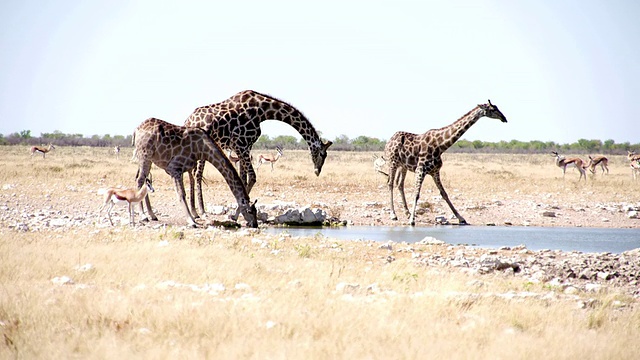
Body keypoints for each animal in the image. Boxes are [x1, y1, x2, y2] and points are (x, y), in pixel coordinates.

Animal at [182, 90, 332, 217]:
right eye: (322, 154)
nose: (317, 171)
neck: (263, 112)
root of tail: (187, 120)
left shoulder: (245, 146)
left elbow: (243, 178)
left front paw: (237, 214)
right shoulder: (241, 144)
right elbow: (252, 177)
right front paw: (238, 214)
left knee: (192, 174)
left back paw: (195, 211)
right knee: (197, 174)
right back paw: (201, 211)